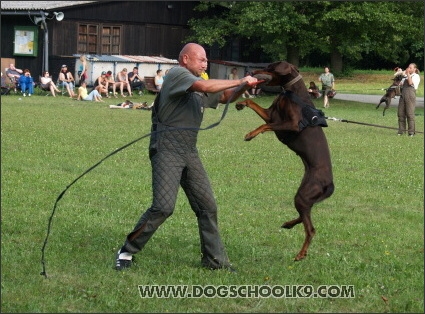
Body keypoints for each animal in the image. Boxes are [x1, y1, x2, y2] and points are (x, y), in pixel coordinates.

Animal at [234, 60, 332, 262]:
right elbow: (253, 104)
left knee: (310, 229)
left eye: (270, 67)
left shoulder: (292, 124)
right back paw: (288, 224)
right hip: (304, 196)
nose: (251, 71)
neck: (290, 91)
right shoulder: (271, 114)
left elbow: (265, 125)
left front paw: (250, 134)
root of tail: (330, 184)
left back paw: (301, 254)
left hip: (303, 196)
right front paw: (240, 103)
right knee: (304, 216)